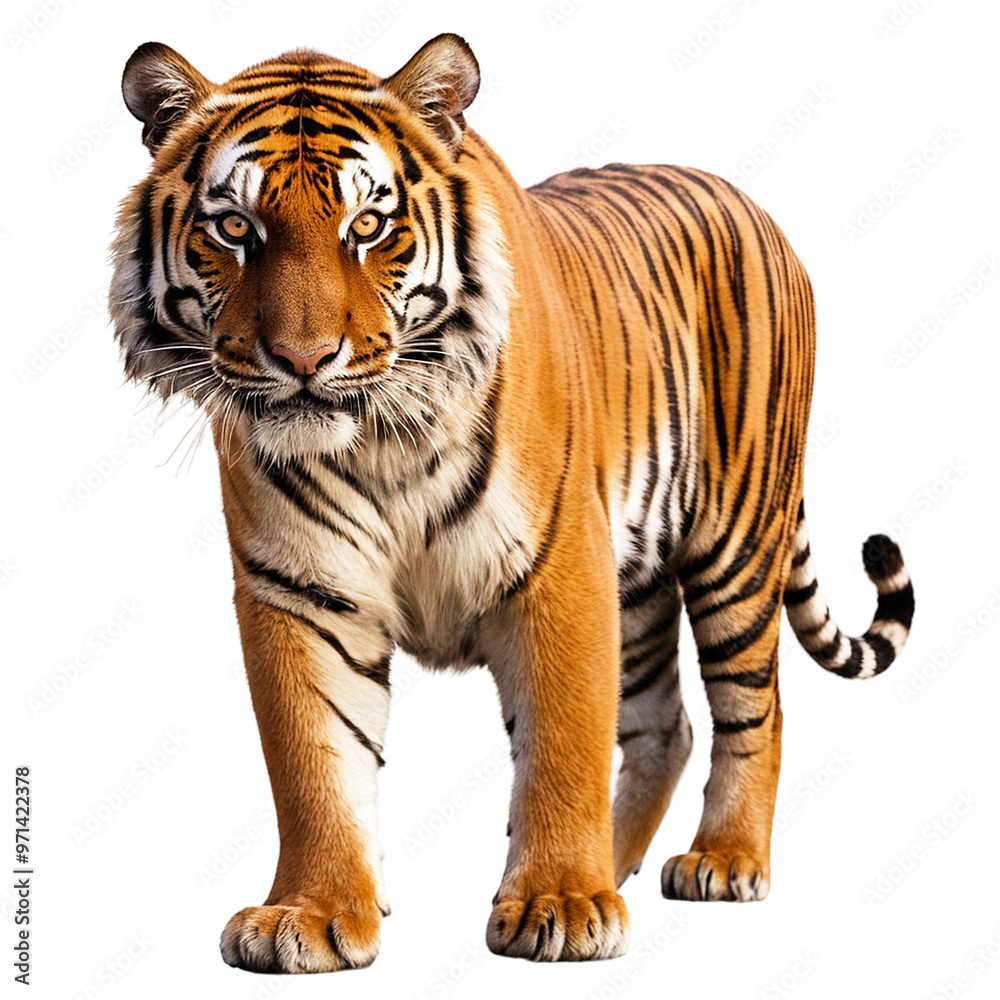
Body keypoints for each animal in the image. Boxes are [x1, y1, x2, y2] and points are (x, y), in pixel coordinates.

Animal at [110, 33, 915, 971]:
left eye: (368, 227)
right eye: (235, 228)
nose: (304, 359)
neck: (380, 440)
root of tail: (750, 202)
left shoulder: (560, 565)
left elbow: (564, 740)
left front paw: (560, 903)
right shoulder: (302, 588)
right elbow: (315, 761)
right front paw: (311, 913)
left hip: (736, 540)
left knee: (757, 706)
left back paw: (722, 859)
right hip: (638, 582)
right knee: (664, 725)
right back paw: (617, 861)